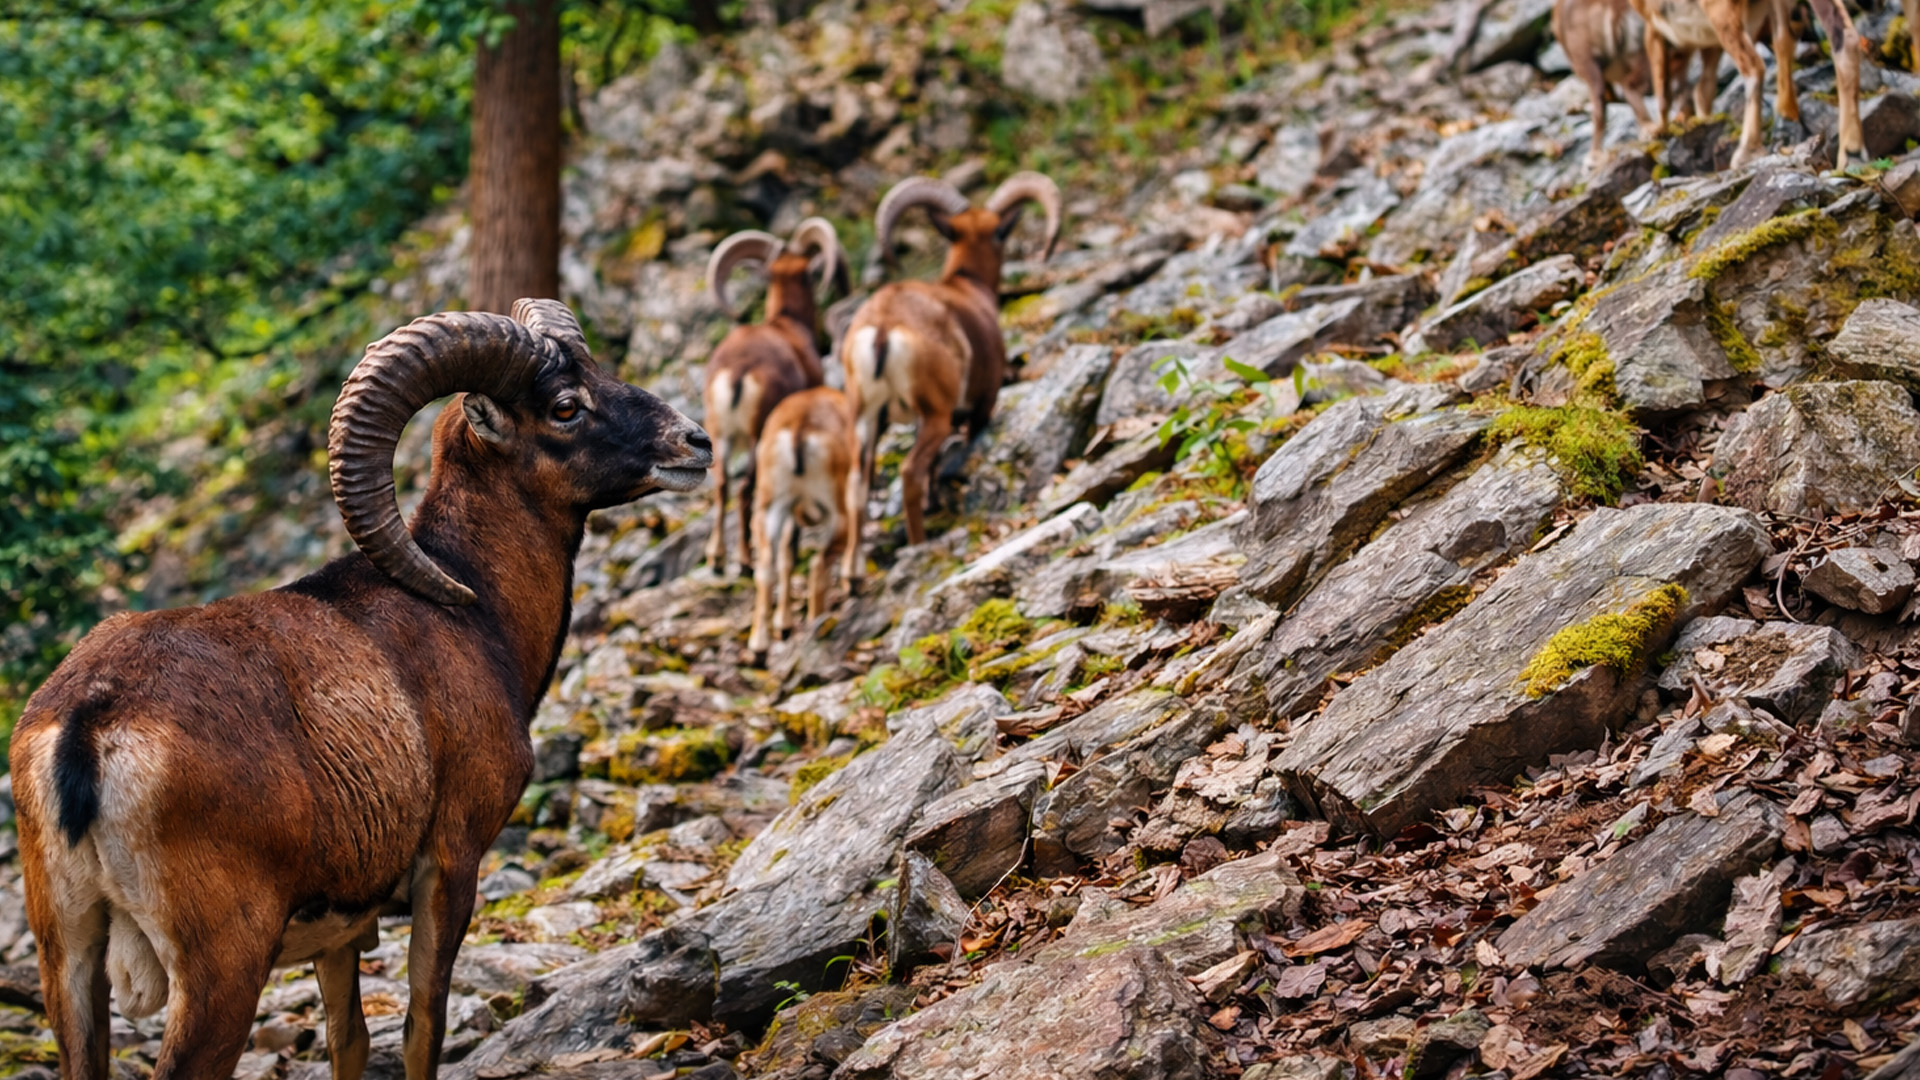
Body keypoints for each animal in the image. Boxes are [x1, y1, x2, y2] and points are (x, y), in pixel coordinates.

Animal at [9, 300, 711, 1080]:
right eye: (565, 406)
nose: (695, 442)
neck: (471, 607)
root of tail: (87, 727)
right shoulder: (450, 867)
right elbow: (422, 1024)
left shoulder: (342, 932)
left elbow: (350, 1036)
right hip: (222, 973)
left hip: (69, 962)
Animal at [703, 218, 848, 577]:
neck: (789, 325)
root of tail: (738, 372)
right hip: (758, 436)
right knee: (745, 490)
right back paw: (744, 562)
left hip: (720, 435)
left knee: (722, 486)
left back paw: (717, 559)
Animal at [746, 387, 861, 656]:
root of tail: (800, 427)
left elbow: (787, 560)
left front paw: (784, 624)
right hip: (837, 510)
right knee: (819, 562)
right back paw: (818, 621)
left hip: (770, 509)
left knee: (766, 570)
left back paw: (759, 647)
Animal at [841, 172, 1061, 547]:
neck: (966, 285)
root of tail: (883, 329)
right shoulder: (982, 401)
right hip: (936, 414)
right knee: (910, 470)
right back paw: (918, 541)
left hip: (867, 417)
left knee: (857, 482)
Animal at [1633, 0, 1863, 169]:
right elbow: (1705, 87)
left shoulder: (1654, 30)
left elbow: (1663, 89)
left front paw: (1656, 132)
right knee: (1843, 39)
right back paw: (1850, 155)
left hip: (1720, 11)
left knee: (1754, 67)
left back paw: (1745, 152)